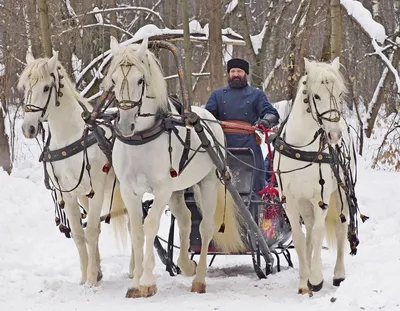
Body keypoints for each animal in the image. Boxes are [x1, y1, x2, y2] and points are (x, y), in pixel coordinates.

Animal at [18, 53, 129, 288]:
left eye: (46, 87)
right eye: (25, 87)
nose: (28, 128)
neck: (69, 137)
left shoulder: (97, 188)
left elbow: (93, 231)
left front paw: (92, 280)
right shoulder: (68, 193)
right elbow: (79, 235)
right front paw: (86, 276)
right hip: (84, 195)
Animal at [103, 37, 247, 300]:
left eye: (140, 80)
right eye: (114, 80)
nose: (126, 125)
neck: (141, 137)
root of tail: (209, 117)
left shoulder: (161, 189)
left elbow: (150, 225)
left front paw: (147, 281)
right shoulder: (130, 190)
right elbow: (137, 230)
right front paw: (135, 283)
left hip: (208, 182)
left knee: (205, 226)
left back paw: (199, 279)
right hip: (177, 189)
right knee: (186, 218)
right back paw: (186, 265)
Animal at [274, 58, 354, 294]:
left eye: (339, 94)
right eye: (316, 96)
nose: (334, 135)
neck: (301, 147)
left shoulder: (321, 197)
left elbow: (319, 233)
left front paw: (316, 279)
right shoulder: (290, 201)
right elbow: (300, 238)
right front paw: (304, 282)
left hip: (340, 194)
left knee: (340, 228)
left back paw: (338, 274)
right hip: (305, 203)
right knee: (309, 231)